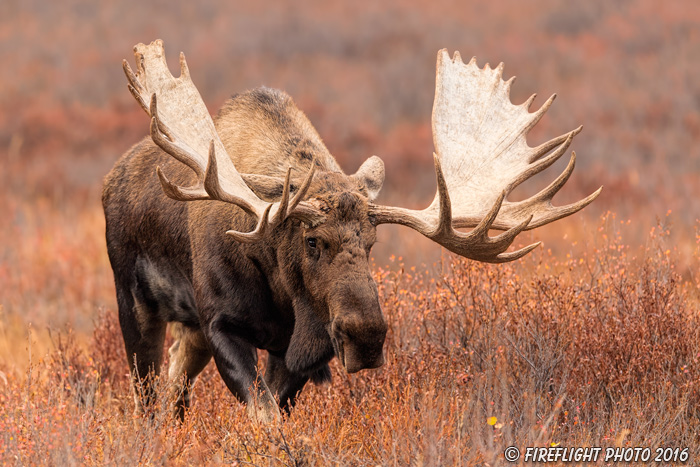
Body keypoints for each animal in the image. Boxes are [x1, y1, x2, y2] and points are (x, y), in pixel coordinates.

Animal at [101, 38, 600, 422]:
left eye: (372, 244)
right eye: (312, 240)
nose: (367, 336)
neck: (283, 293)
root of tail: (112, 176)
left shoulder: (293, 349)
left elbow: (275, 411)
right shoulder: (222, 323)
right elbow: (263, 417)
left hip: (189, 331)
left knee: (174, 387)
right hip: (136, 303)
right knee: (147, 396)